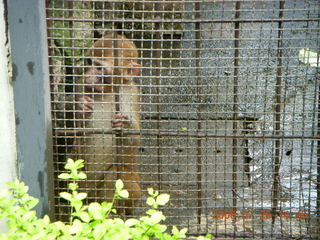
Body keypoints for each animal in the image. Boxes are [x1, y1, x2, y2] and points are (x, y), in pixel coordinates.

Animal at [74, 33, 142, 214]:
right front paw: (80, 107)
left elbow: (135, 138)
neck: (107, 92)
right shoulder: (80, 86)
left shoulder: (130, 93)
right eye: (89, 62)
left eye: (99, 67)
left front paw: (124, 126)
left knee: (116, 176)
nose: (87, 75)